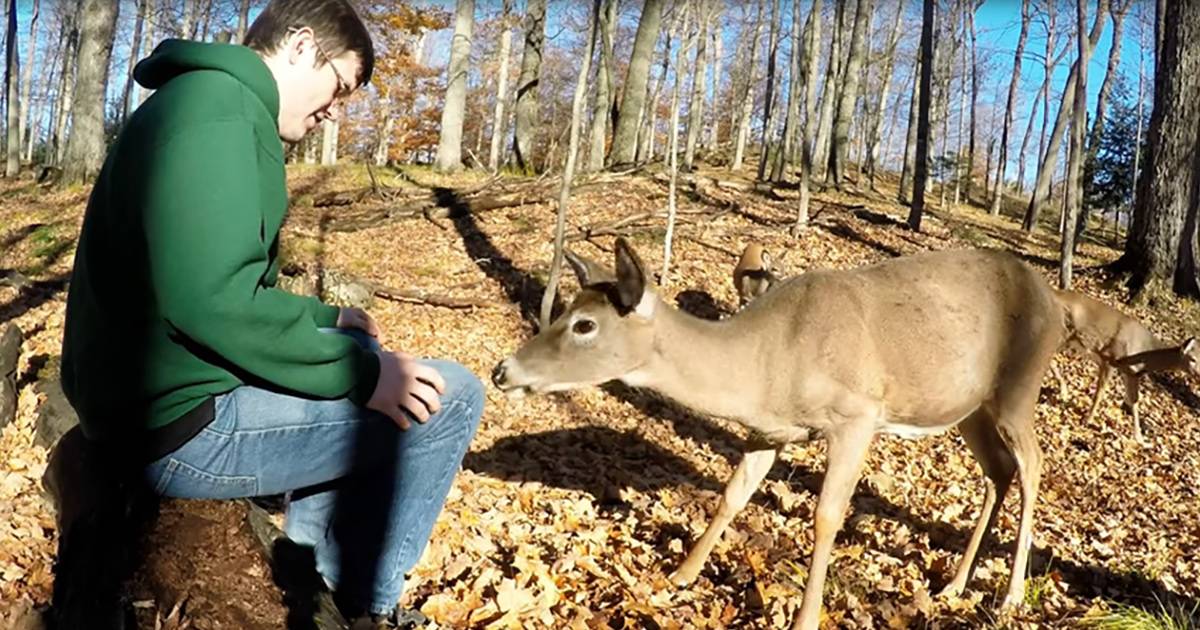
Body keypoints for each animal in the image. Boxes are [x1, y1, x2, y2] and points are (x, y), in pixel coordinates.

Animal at [491, 238, 1065, 630]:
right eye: (567, 310)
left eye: (584, 324)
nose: (502, 371)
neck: (769, 363)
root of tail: (1056, 301)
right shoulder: (769, 431)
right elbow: (732, 495)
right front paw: (680, 575)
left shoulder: (857, 416)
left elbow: (827, 516)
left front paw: (806, 617)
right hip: (969, 406)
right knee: (997, 472)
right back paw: (954, 585)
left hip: (1019, 386)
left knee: (1033, 465)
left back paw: (1011, 595)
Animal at [1051, 290, 1197, 442]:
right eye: (1193, 359)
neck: (1144, 352)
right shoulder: (1109, 358)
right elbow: (1100, 393)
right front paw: (1087, 420)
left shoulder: (1130, 373)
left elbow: (1134, 401)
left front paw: (1139, 438)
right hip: (1063, 332)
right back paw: (1063, 392)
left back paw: (1063, 391)